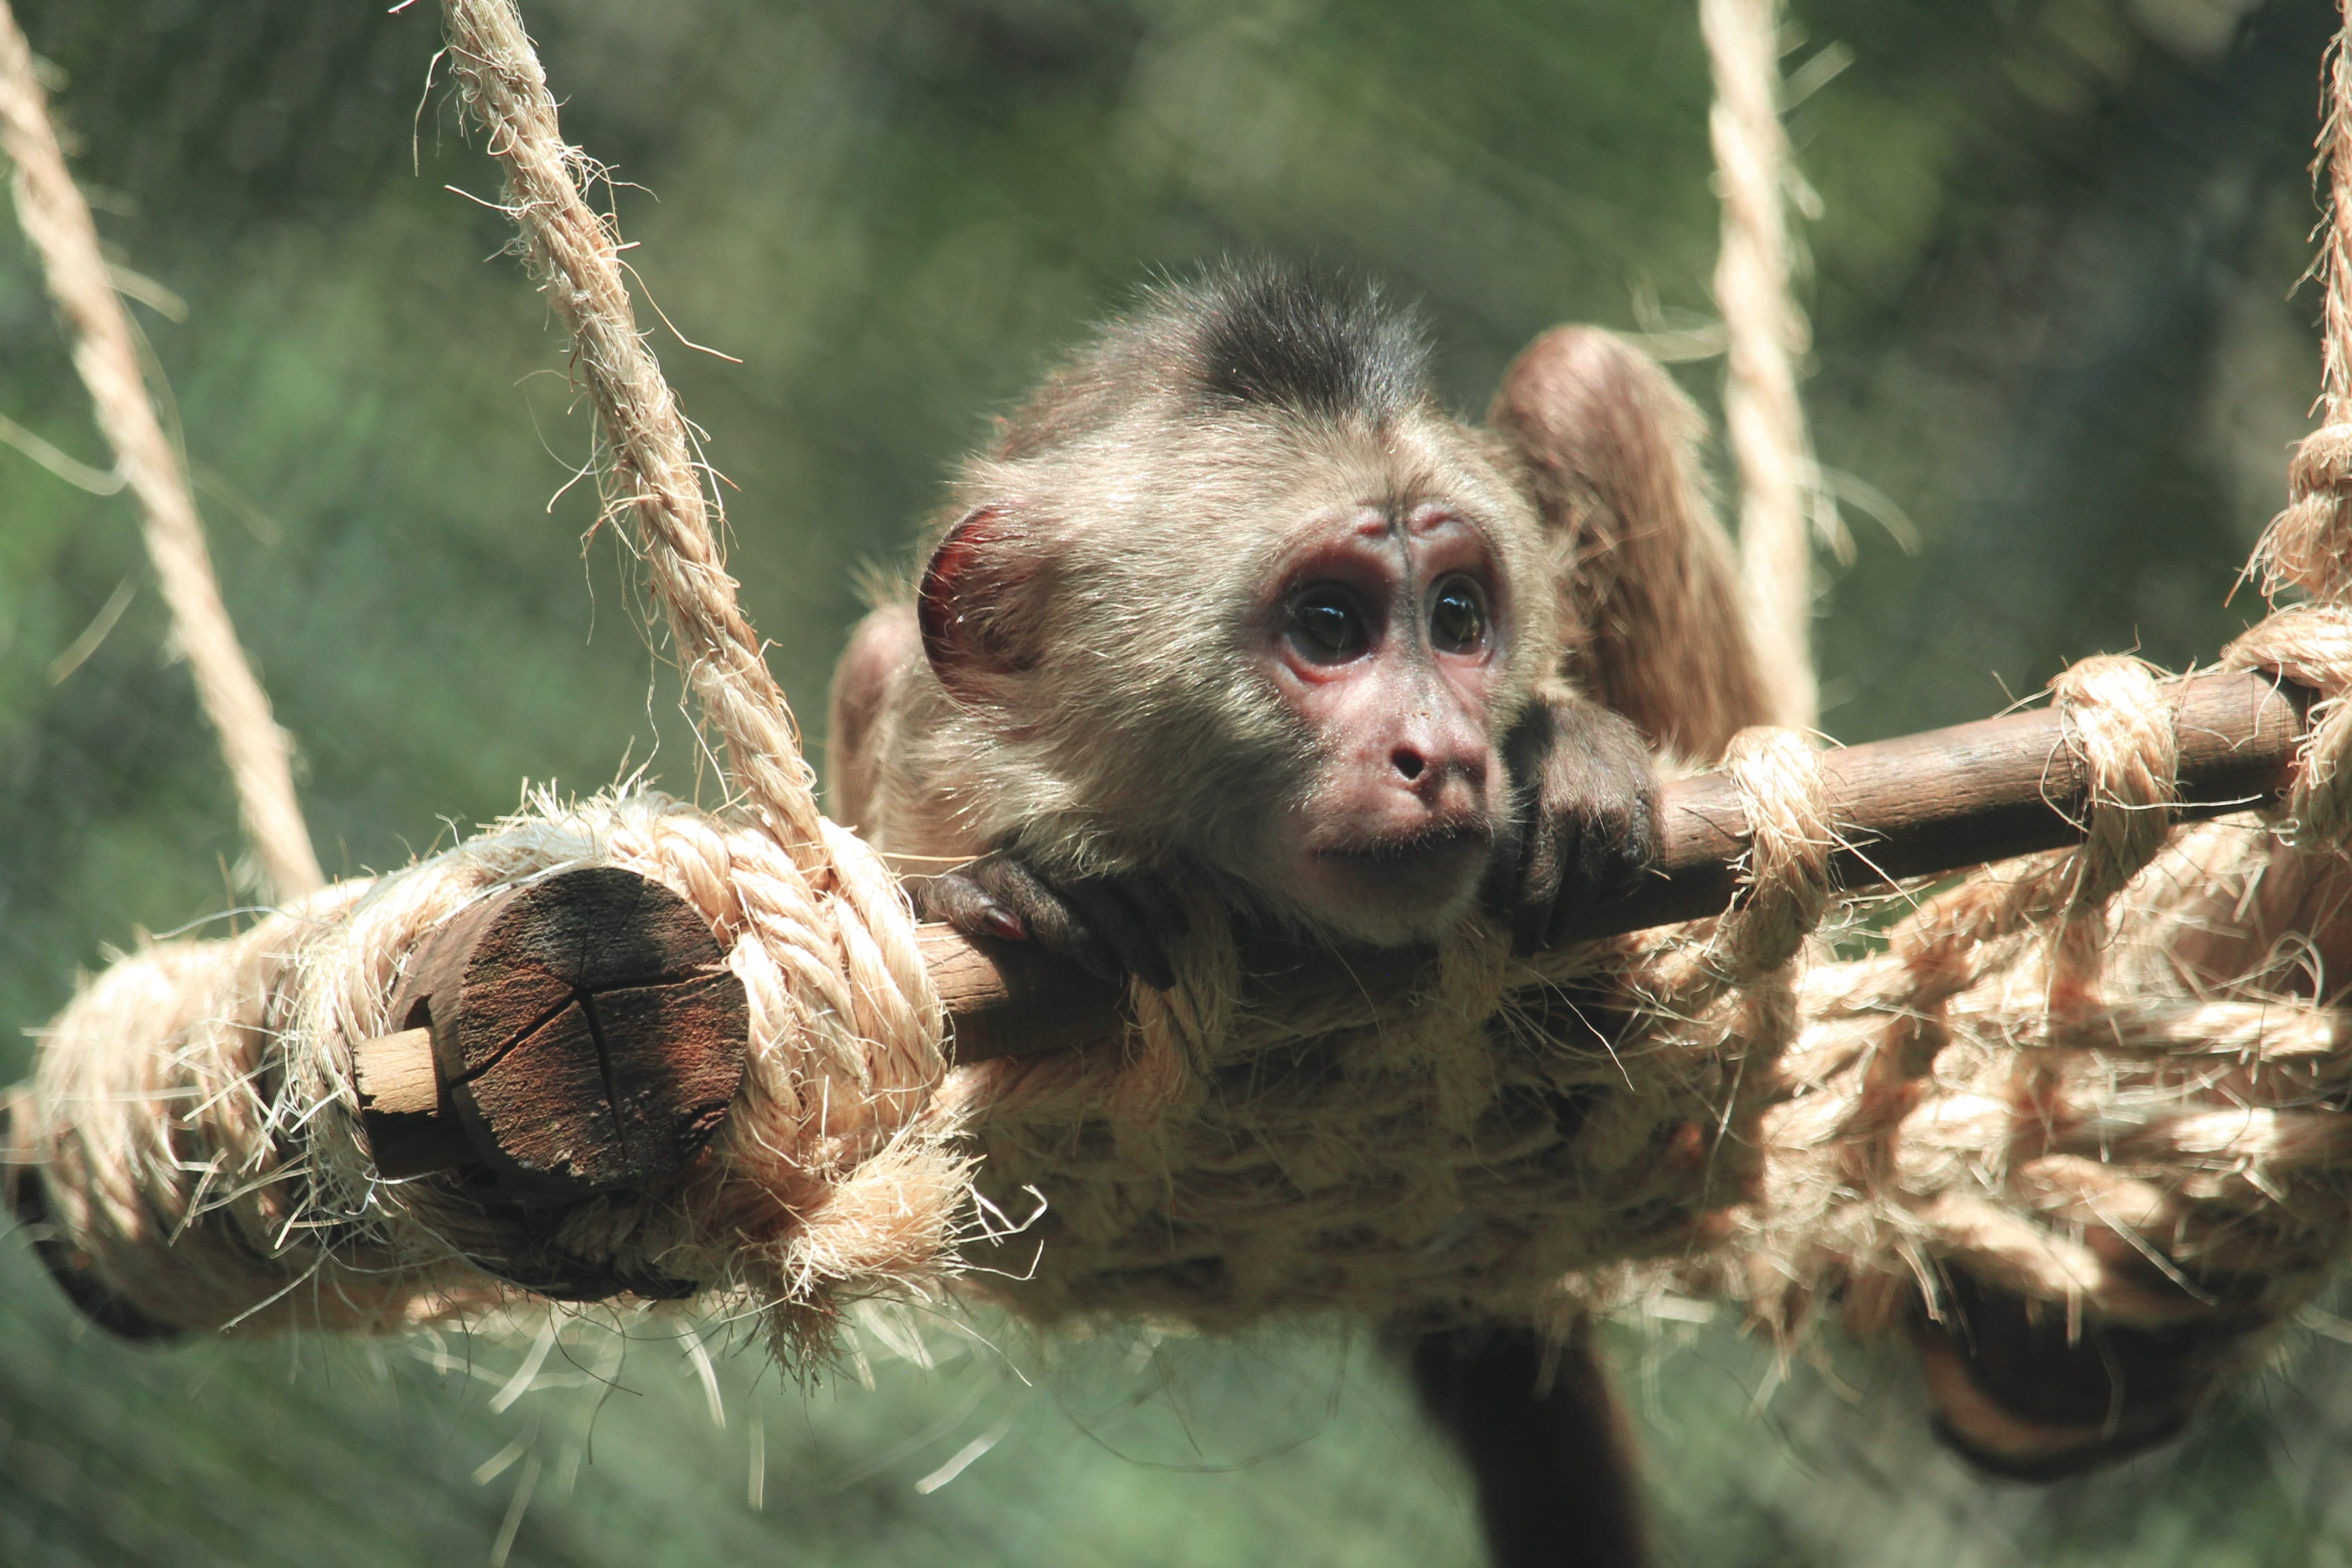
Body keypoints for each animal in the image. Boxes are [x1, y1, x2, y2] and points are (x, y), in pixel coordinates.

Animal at [826, 261, 1772, 1568]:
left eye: (1461, 616)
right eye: (1329, 626)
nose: (1447, 755)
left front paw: (1566, 747)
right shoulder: (937, 759)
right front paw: (991, 884)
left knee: (1574, 378)